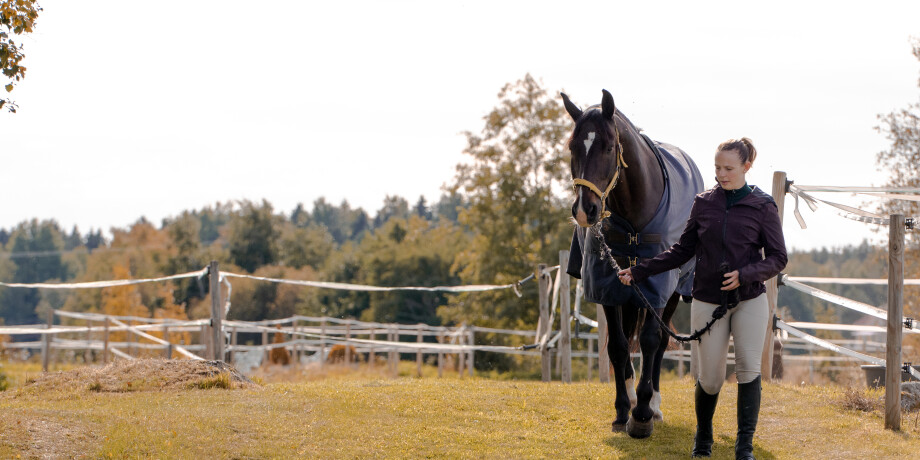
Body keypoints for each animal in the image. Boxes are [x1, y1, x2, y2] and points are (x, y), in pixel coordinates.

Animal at [560, 89, 704, 438]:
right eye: (572, 146)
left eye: (609, 146)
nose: (585, 209)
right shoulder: (609, 287)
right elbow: (618, 346)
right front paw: (623, 409)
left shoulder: (658, 286)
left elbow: (651, 341)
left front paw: (641, 414)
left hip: (673, 290)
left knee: (661, 342)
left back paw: (654, 405)